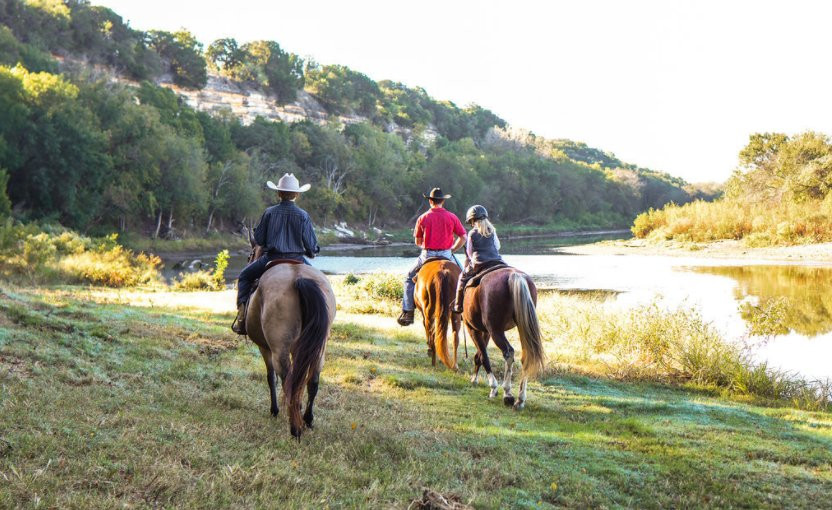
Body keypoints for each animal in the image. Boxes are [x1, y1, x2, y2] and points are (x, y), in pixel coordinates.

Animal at [242, 233, 334, 436]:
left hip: (280, 350)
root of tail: (298, 278)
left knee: (287, 380)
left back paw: (294, 428)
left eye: (250, 255)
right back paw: (307, 419)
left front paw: (274, 410)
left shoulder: (265, 348)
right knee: (312, 381)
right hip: (318, 348)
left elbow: (271, 378)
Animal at [462, 266, 544, 410]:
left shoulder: (473, 329)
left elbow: (484, 356)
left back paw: (507, 393)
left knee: (508, 352)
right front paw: (474, 379)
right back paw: (520, 400)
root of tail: (514, 275)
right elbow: (479, 355)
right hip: (522, 328)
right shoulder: (486, 332)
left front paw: (493, 387)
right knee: (526, 357)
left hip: (496, 331)